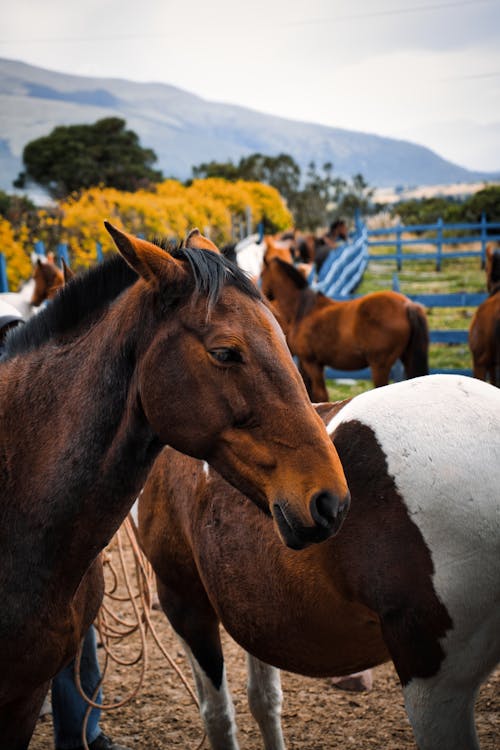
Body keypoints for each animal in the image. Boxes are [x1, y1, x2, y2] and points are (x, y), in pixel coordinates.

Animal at [260, 258, 428, 400]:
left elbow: (320, 395)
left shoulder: (312, 362)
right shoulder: (306, 362)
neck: (303, 310)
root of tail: (407, 305)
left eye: (262, 274)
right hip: (405, 358)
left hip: (380, 364)